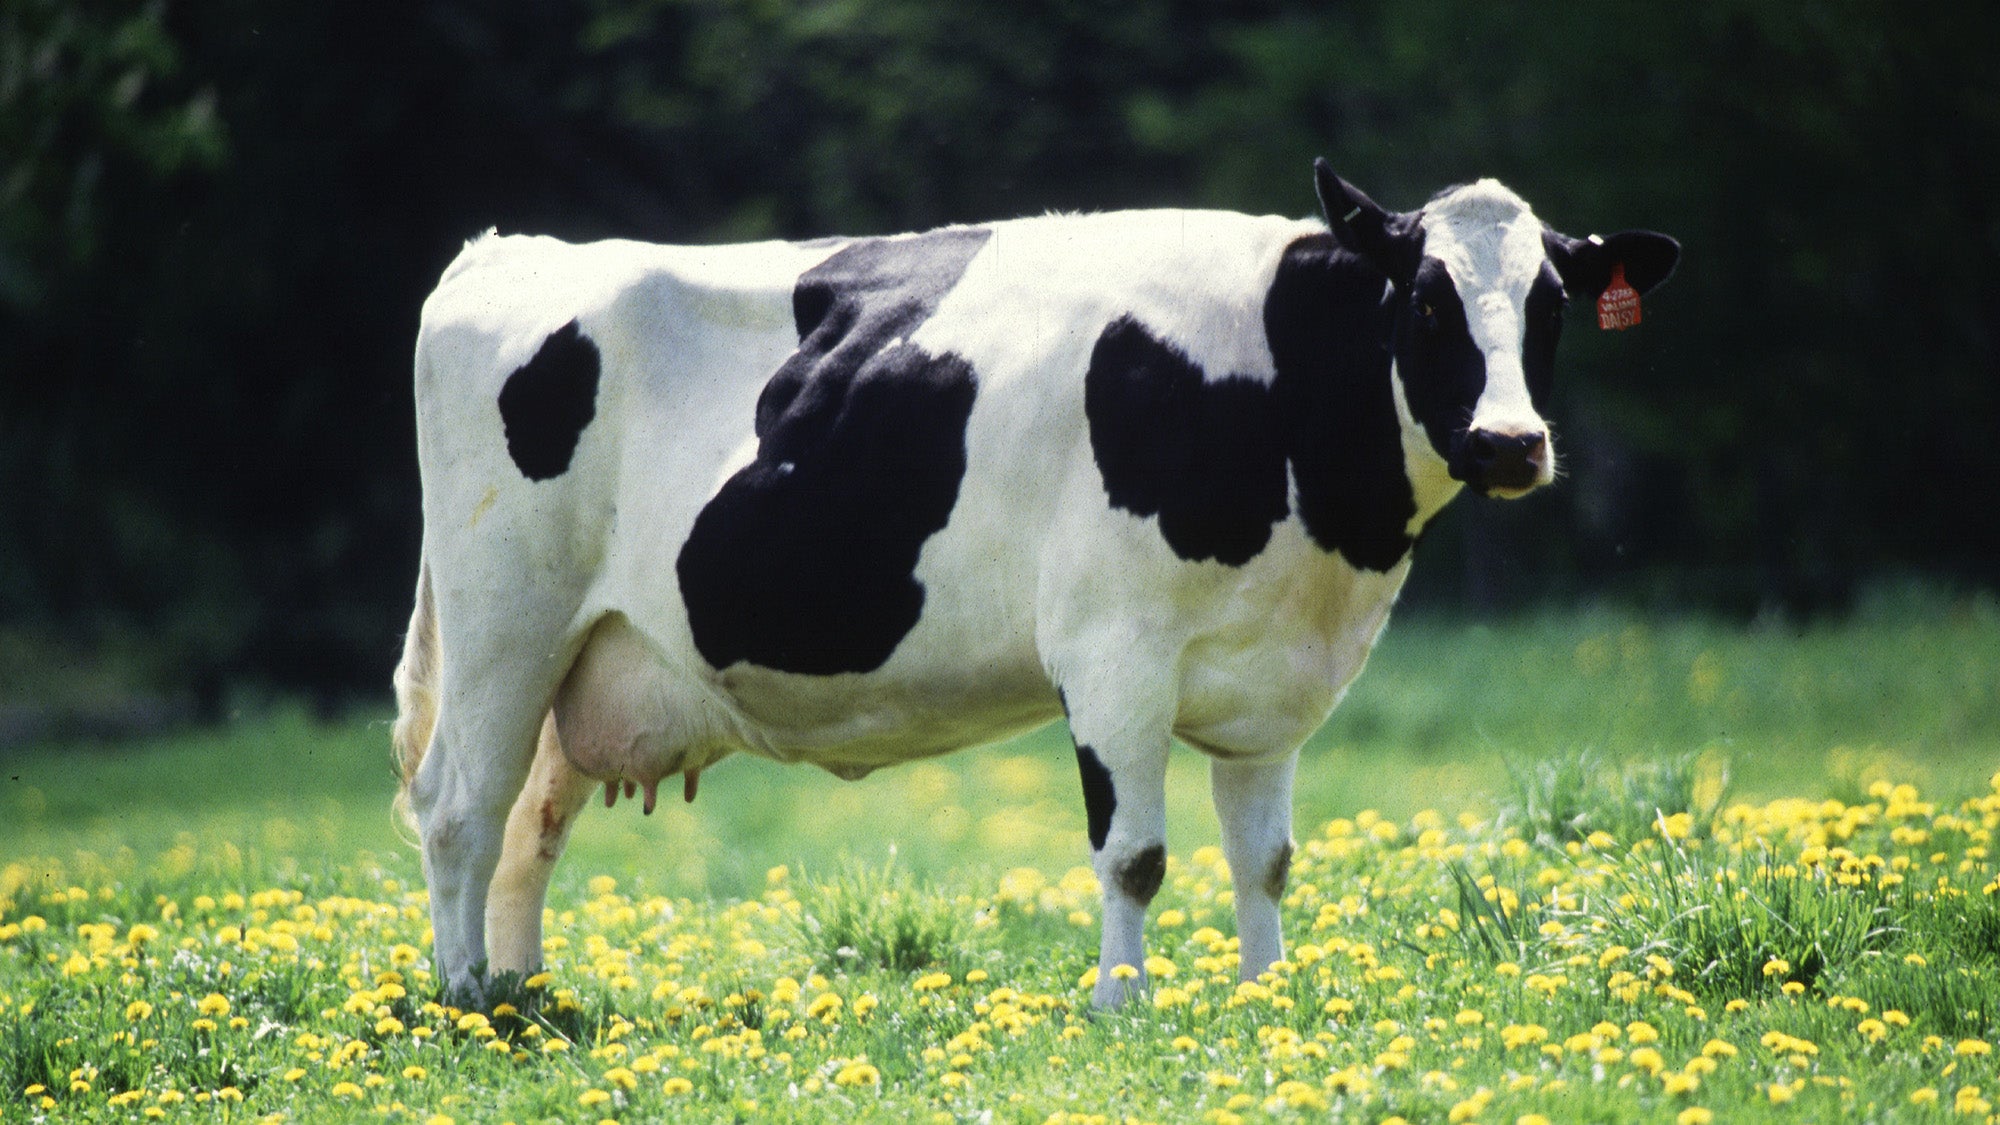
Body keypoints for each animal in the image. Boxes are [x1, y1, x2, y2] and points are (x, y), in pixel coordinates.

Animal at [390, 153, 1672, 1000]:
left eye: (1552, 304)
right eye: (1424, 298)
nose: (1509, 443)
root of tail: (505, 253)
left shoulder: (1272, 683)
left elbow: (1264, 858)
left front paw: (1266, 1001)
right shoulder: (1112, 653)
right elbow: (1135, 855)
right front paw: (1122, 1006)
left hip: (586, 654)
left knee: (531, 823)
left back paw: (525, 997)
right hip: (504, 619)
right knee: (460, 808)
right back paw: (467, 1004)